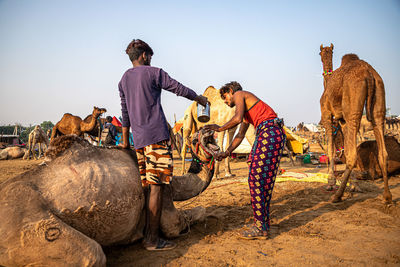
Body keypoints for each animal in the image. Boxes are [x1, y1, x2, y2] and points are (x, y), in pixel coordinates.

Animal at [320, 43, 392, 203]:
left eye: (319, 52)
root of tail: (369, 74)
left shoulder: (327, 114)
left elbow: (331, 149)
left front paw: (331, 181)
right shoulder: (342, 121)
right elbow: (344, 150)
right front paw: (353, 184)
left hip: (352, 105)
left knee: (353, 154)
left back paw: (337, 195)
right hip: (379, 99)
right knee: (383, 153)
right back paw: (387, 197)